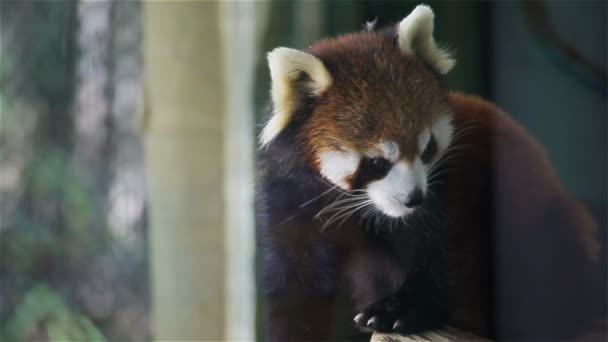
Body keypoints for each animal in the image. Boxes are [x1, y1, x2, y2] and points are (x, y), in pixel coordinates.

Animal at [254, 5, 600, 342]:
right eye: (377, 163)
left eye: (427, 148)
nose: (414, 199)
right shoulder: (291, 196)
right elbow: (298, 279)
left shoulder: (460, 184)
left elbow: (446, 257)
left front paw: (401, 311)